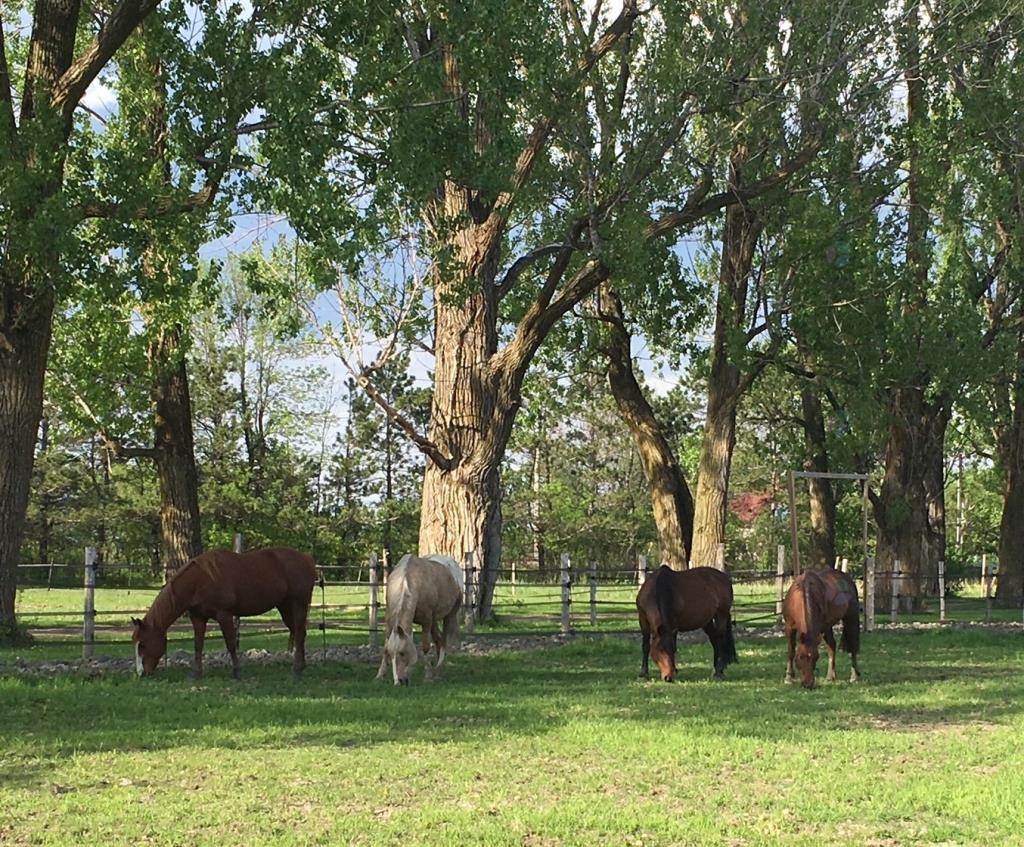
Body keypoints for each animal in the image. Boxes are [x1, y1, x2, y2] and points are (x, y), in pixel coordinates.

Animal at [132, 548, 315, 684]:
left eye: (143, 644)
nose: (141, 674)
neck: (200, 580)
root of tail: (307, 559)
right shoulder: (198, 618)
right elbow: (198, 645)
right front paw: (196, 673)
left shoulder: (224, 615)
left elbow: (231, 644)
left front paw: (236, 672)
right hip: (285, 607)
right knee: (299, 633)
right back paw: (302, 667)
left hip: (298, 604)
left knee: (299, 633)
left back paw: (297, 669)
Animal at [376, 557, 464, 688]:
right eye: (390, 654)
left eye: (402, 653)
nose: (399, 682)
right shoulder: (389, 622)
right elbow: (386, 645)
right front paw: (380, 675)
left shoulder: (426, 620)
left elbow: (425, 647)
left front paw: (427, 677)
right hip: (434, 621)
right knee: (439, 641)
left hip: (449, 615)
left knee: (445, 641)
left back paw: (438, 671)